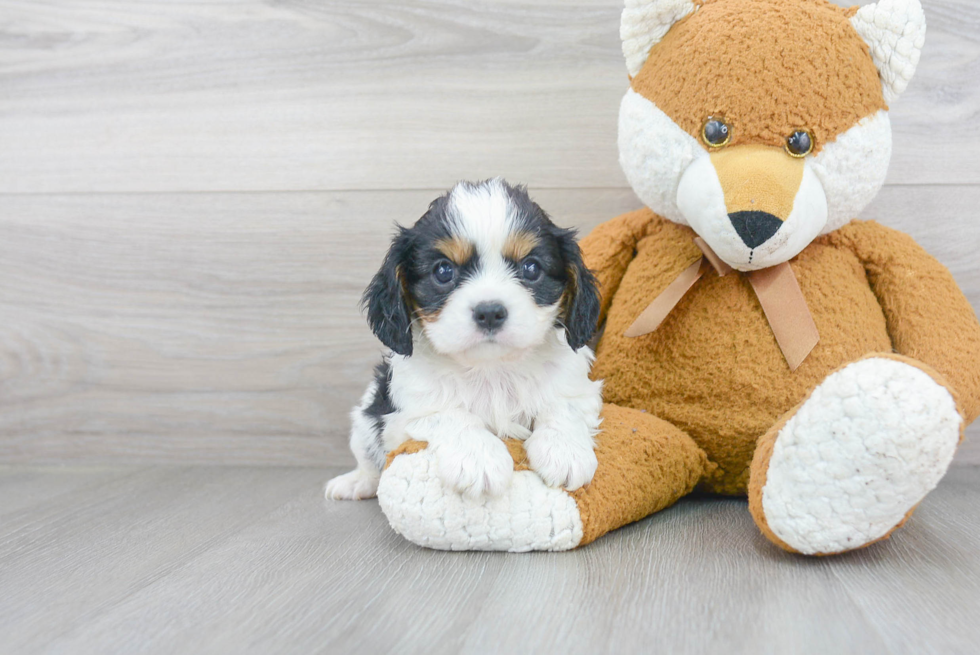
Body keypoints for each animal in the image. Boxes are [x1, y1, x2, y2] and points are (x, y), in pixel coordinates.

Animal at [330, 179, 600, 502]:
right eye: (444, 271)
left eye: (531, 268)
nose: (490, 312)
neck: (492, 369)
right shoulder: (403, 416)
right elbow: (450, 414)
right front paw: (478, 458)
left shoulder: (579, 389)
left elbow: (562, 406)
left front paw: (565, 450)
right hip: (365, 418)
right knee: (369, 463)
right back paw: (355, 482)